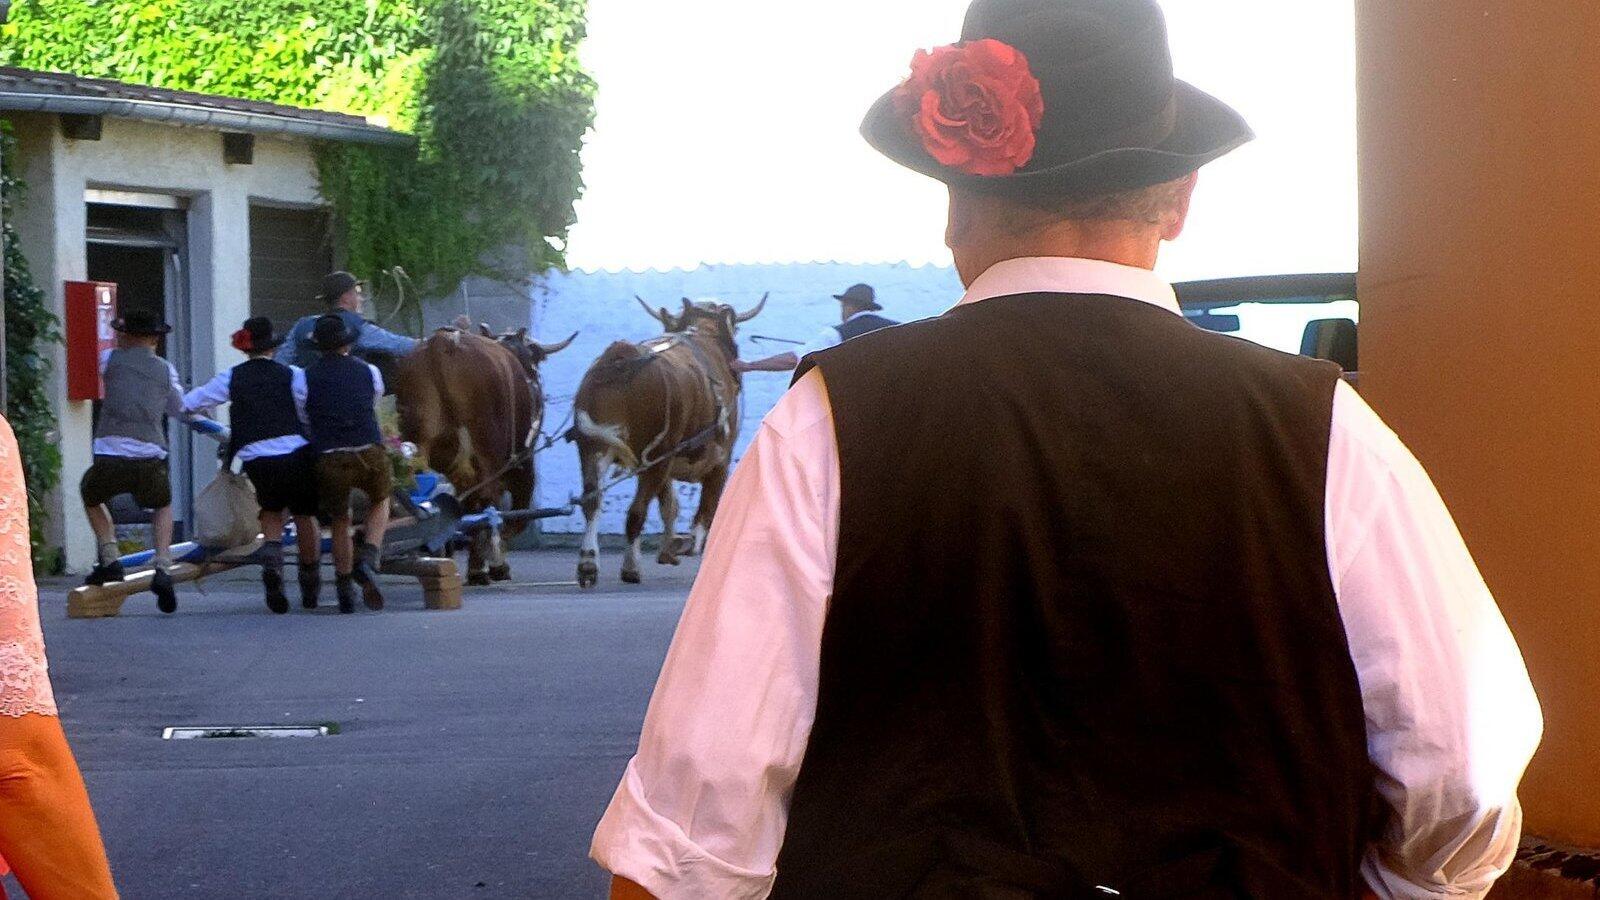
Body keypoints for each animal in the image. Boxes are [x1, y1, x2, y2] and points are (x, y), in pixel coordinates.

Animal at [394, 326, 575, 585]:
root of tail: (444, 343)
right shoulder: (523, 461)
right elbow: (516, 515)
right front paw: (496, 561)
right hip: (489, 445)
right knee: (491, 501)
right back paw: (487, 564)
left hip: (420, 437)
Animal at [571, 295, 767, 588]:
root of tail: (622, 357)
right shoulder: (719, 463)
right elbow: (706, 514)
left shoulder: (670, 465)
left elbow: (669, 505)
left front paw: (668, 550)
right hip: (655, 456)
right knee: (636, 512)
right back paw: (630, 567)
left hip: (592, 449)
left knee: (592, 502)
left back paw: (588, 564)